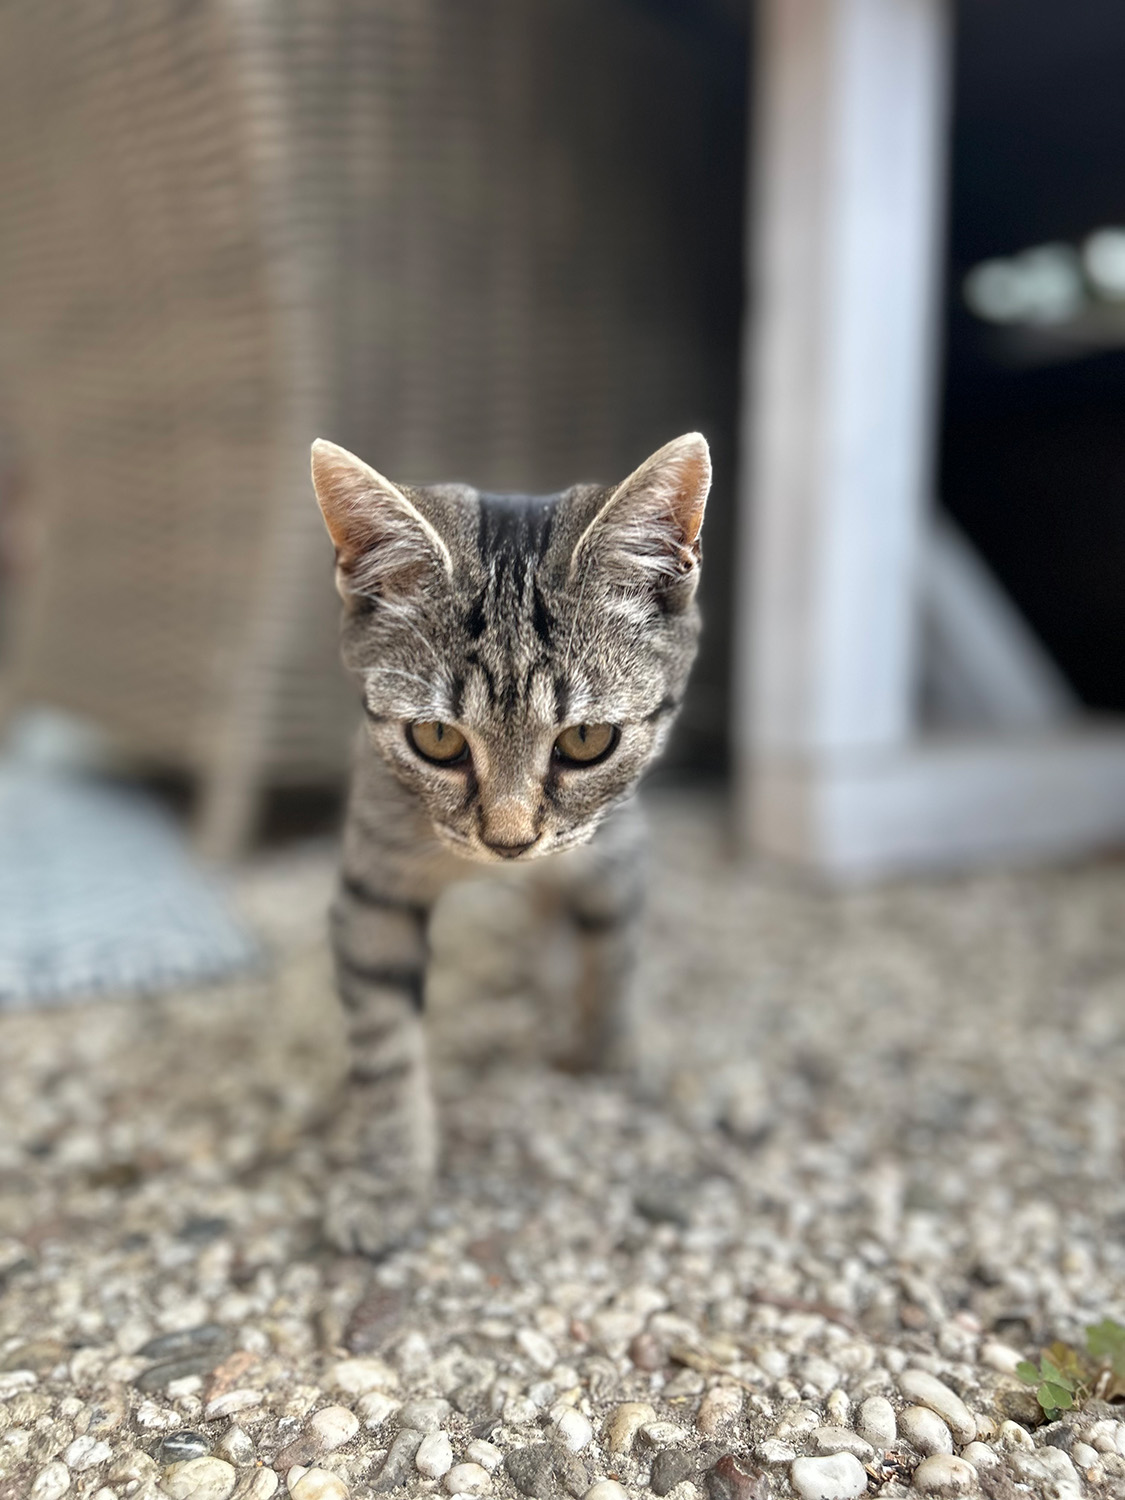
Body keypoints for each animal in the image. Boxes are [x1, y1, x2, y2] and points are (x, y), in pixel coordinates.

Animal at [310, 432, 710, 1255]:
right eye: (435, 739)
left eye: (587, 740)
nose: (509, 840)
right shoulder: (372, 885)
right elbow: (384, 1043)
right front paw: (390, 1180)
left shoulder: (614, 845)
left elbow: (610, 951)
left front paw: (607, 1048)